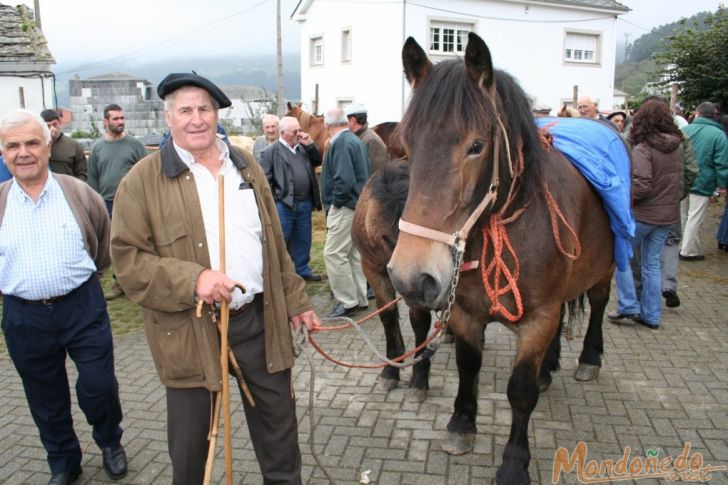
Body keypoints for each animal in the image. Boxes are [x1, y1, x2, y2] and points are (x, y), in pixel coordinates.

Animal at [384, 34, 616, 484]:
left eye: (476, 146)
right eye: (407, 145)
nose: (410, 277)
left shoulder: (538, 317)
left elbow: (520, 391)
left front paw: (513, 462)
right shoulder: (465, 312)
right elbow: (468, 366)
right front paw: (461, 425)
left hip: (604, 271)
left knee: (597, 305)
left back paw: (589, 359)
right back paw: (550, 368)